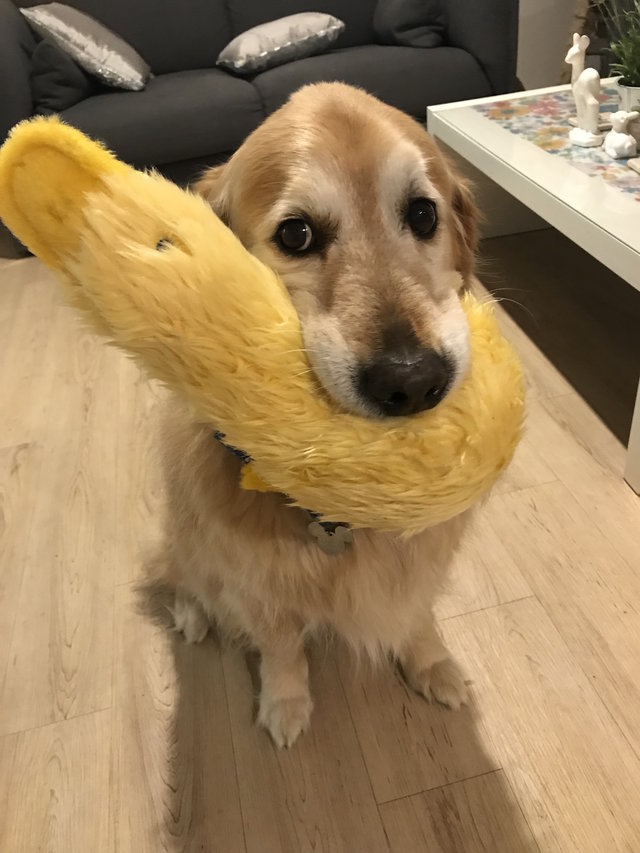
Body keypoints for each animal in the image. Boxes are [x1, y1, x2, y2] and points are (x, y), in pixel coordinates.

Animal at [156, 81, 480, 744]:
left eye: (423, 215)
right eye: (297, 235)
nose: (413, 381)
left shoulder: (424, 562)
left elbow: (417, 615)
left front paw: (432, 664)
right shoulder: (257, 583)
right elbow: (282, 647)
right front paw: (286, 704)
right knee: (184, 574)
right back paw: (193, 614)